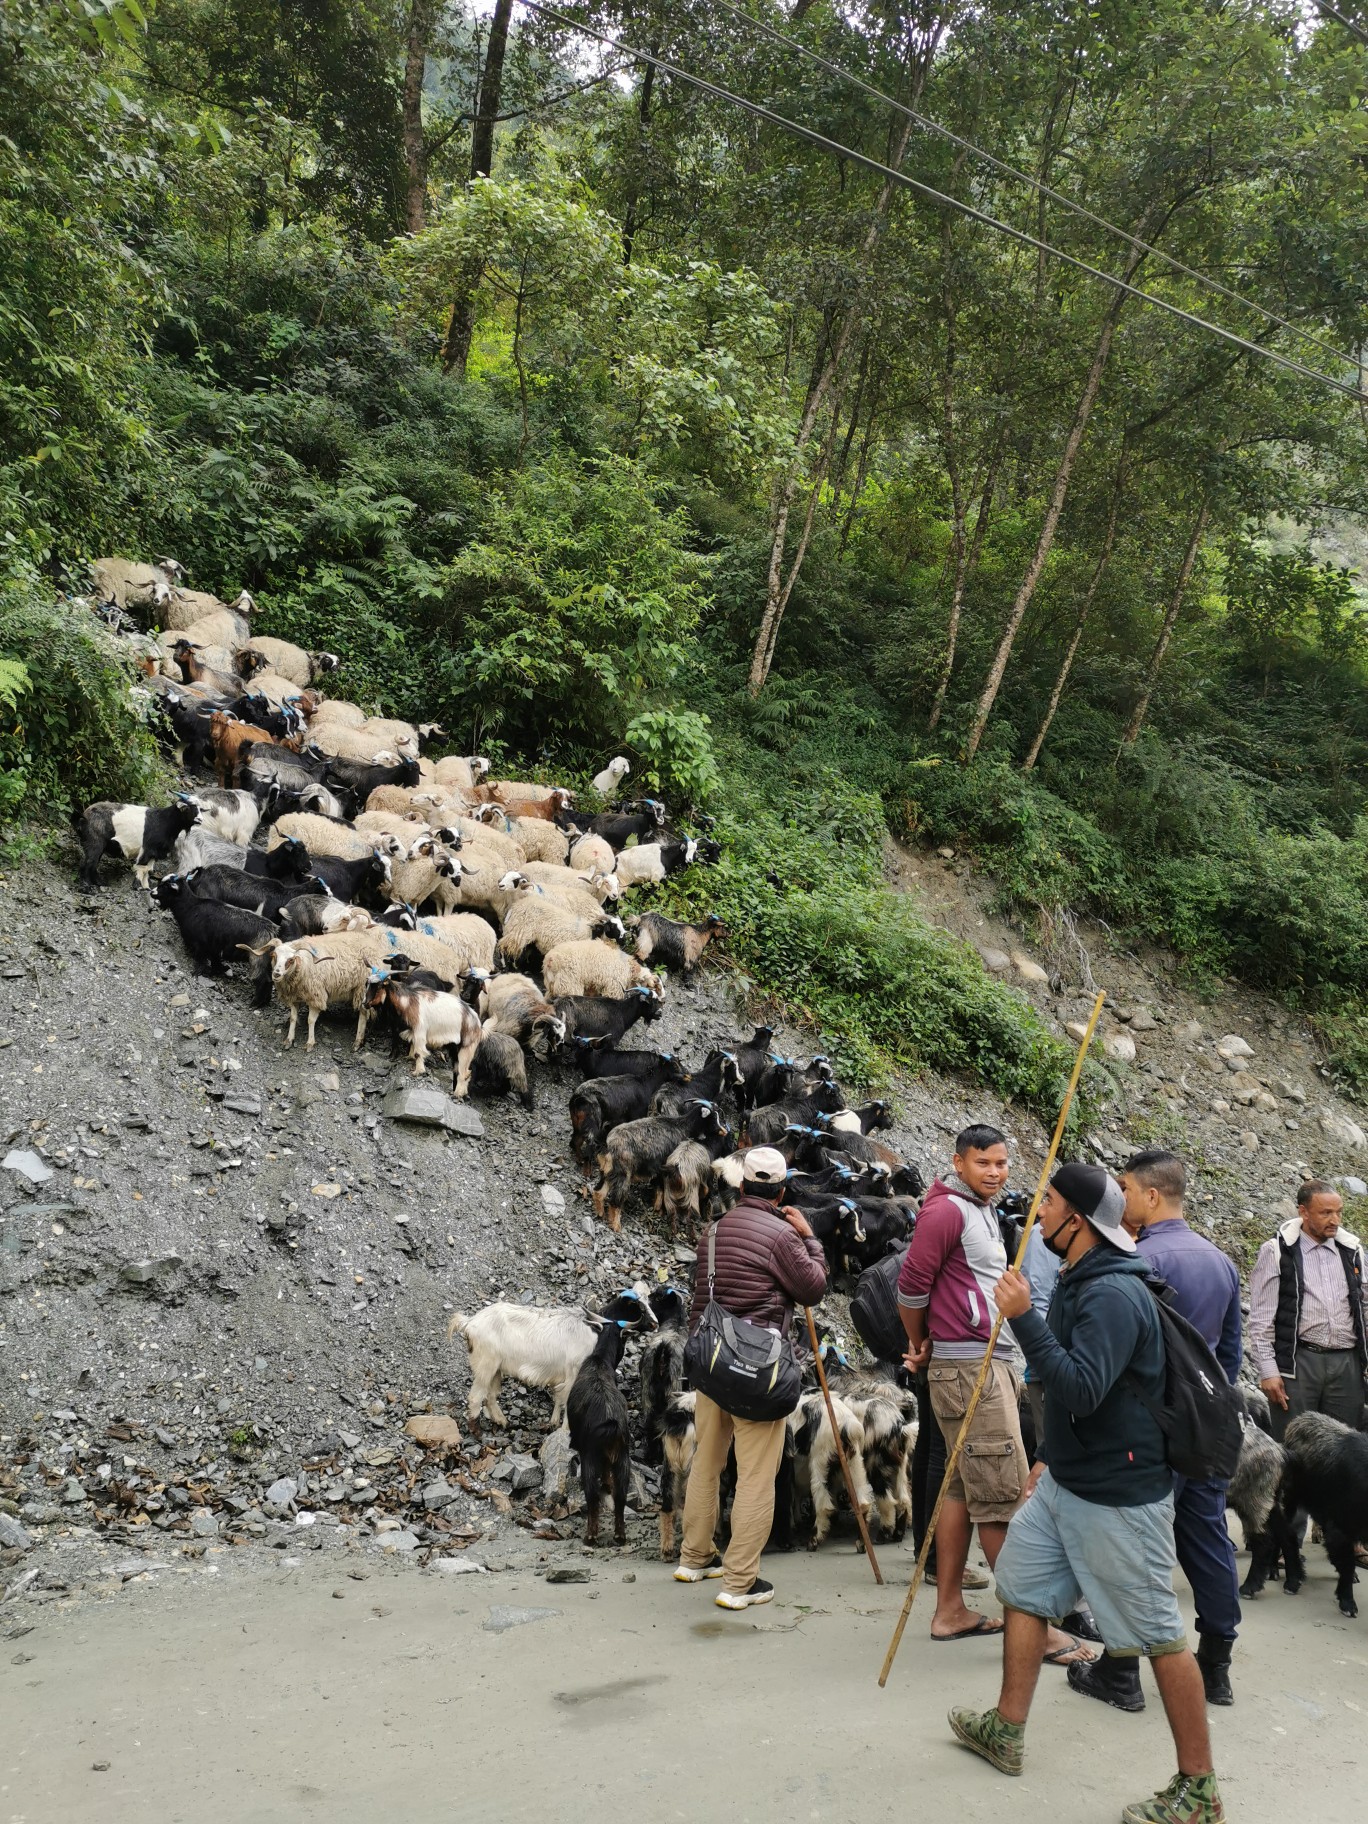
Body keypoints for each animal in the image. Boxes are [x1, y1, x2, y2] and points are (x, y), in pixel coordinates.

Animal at [446, 1291, 656, 1430]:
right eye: (638, 1307)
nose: (654, 1323)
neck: (596, 1331)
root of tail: (469, 1323)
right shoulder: (574, 1374)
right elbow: (566, 1400)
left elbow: (557, 1398)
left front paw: (553, 1422)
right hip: (485, 1365)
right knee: (476, 1397)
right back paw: (477, 1433)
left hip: (496, 1369)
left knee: (490, 1395)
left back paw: (502, 1421)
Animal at [565, 1320, 634, 1546]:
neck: (599, 1359)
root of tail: (612, 1423)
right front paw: (607, 1484)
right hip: (622, 1457)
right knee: (620, 1495)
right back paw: (620, 1534)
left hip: (590, 1456)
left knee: (592, 1495)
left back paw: (591, 1535)